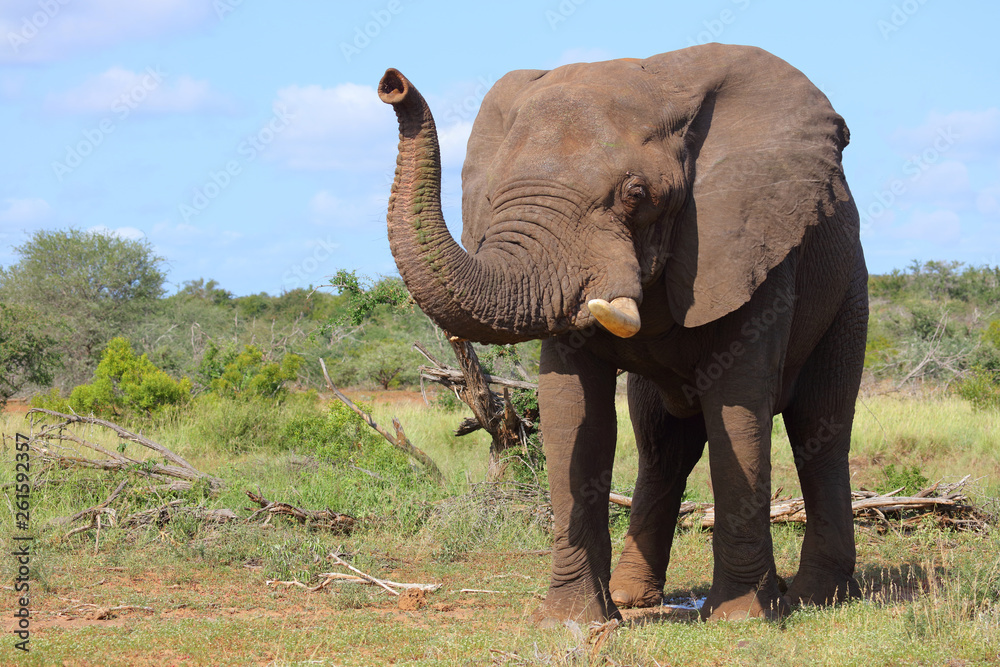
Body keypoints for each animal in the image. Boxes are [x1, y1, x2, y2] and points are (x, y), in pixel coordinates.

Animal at [377, 43, 867, 624]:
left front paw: (743, 617)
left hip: (848, 291)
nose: (392, 84)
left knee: (820, 431)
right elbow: (572, 410)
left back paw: (817, 598)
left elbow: (738, 405)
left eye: (636, 194)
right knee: (662, 446)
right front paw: (571, 621)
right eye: (492, 195)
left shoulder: (752, 250)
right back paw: (636, 598)